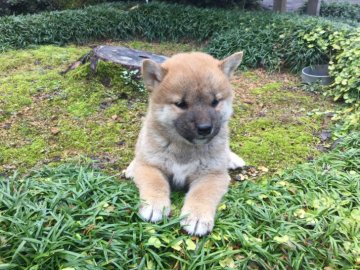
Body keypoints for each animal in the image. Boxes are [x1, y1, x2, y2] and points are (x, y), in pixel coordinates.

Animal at [126, 51, 245, 236]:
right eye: (180, 104)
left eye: (215, 102)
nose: (205, 128)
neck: (185, 148)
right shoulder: (151, 166)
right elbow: (155, 183)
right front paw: (154, 205)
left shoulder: (213, 174)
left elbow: (202, 194)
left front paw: (197, 217)